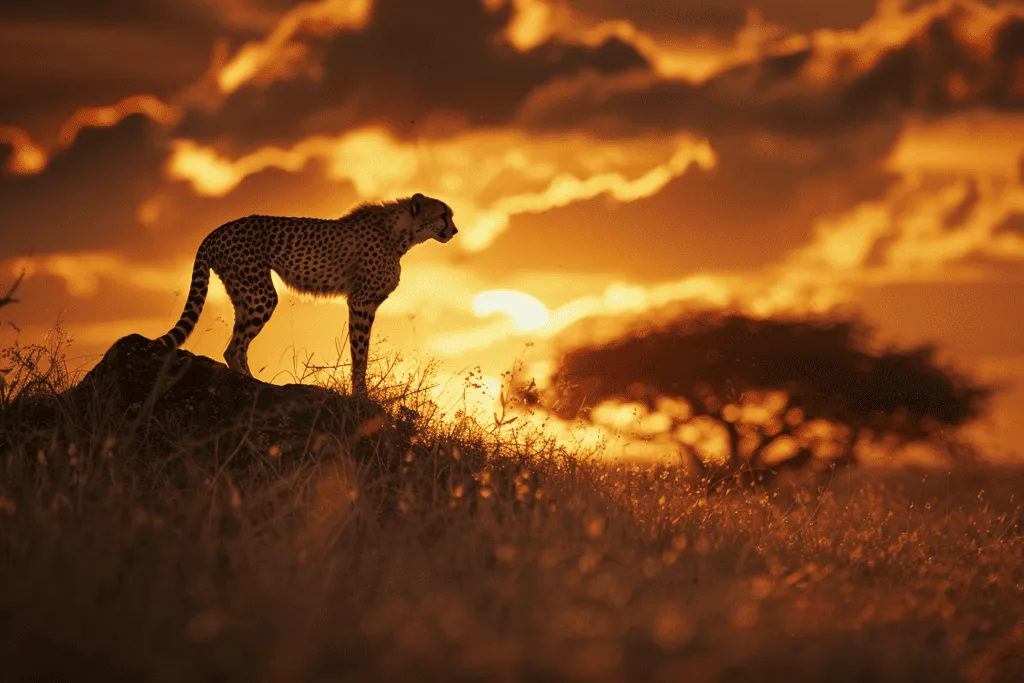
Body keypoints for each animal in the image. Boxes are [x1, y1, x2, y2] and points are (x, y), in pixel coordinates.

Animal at [156, 193, 458, 394]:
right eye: (443, 215)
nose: (454, 231)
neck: (400, 233)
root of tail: (216, 230)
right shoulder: (361, 302)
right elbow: (360, 352)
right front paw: (361, 396)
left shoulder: (366, 303)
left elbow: (362, 350)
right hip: (260, 294)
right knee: (234, 347)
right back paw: (253, 385)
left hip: (243, 291)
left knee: (235, 345)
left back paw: (253, 381)